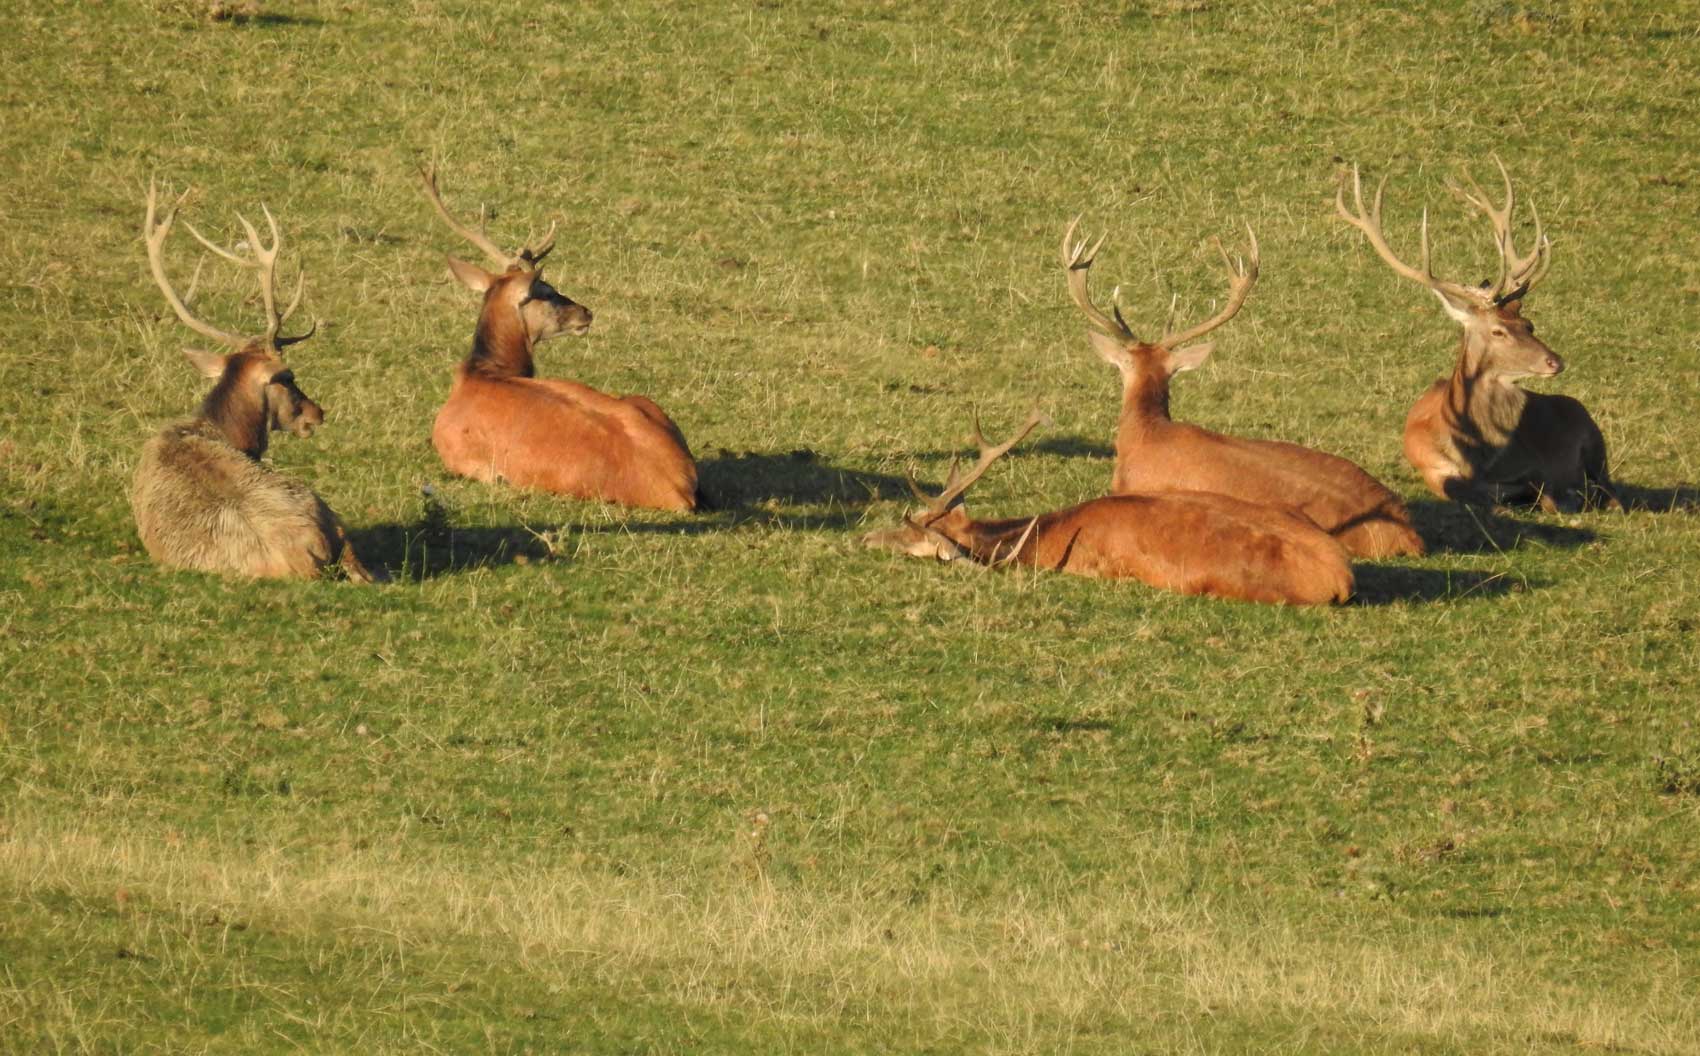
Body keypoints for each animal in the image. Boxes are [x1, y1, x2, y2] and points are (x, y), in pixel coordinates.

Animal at [1326, 157, 1618, 513]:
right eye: (1498, 331)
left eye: (1529, 324)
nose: (1555, 361)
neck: (1480, 461)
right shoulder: (1433, 468)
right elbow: (1464, 490)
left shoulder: (1541, 467)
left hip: (1594, 439)